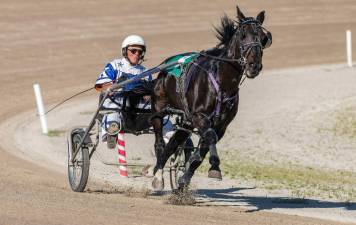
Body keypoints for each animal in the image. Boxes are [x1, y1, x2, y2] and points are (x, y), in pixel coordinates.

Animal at [149, 5, 272, 190]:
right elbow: (209, 139)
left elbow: (203, 150)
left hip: (187, 121)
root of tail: (166, 68)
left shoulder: (221, 125)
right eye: (243, 35)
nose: (254, 65)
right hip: (159, 107)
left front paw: (184, 179)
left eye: (263, 38)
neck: (222, 82)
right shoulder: (200, 117)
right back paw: (157, 175)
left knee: (174, 142)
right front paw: (214, 165)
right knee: (160, 142)